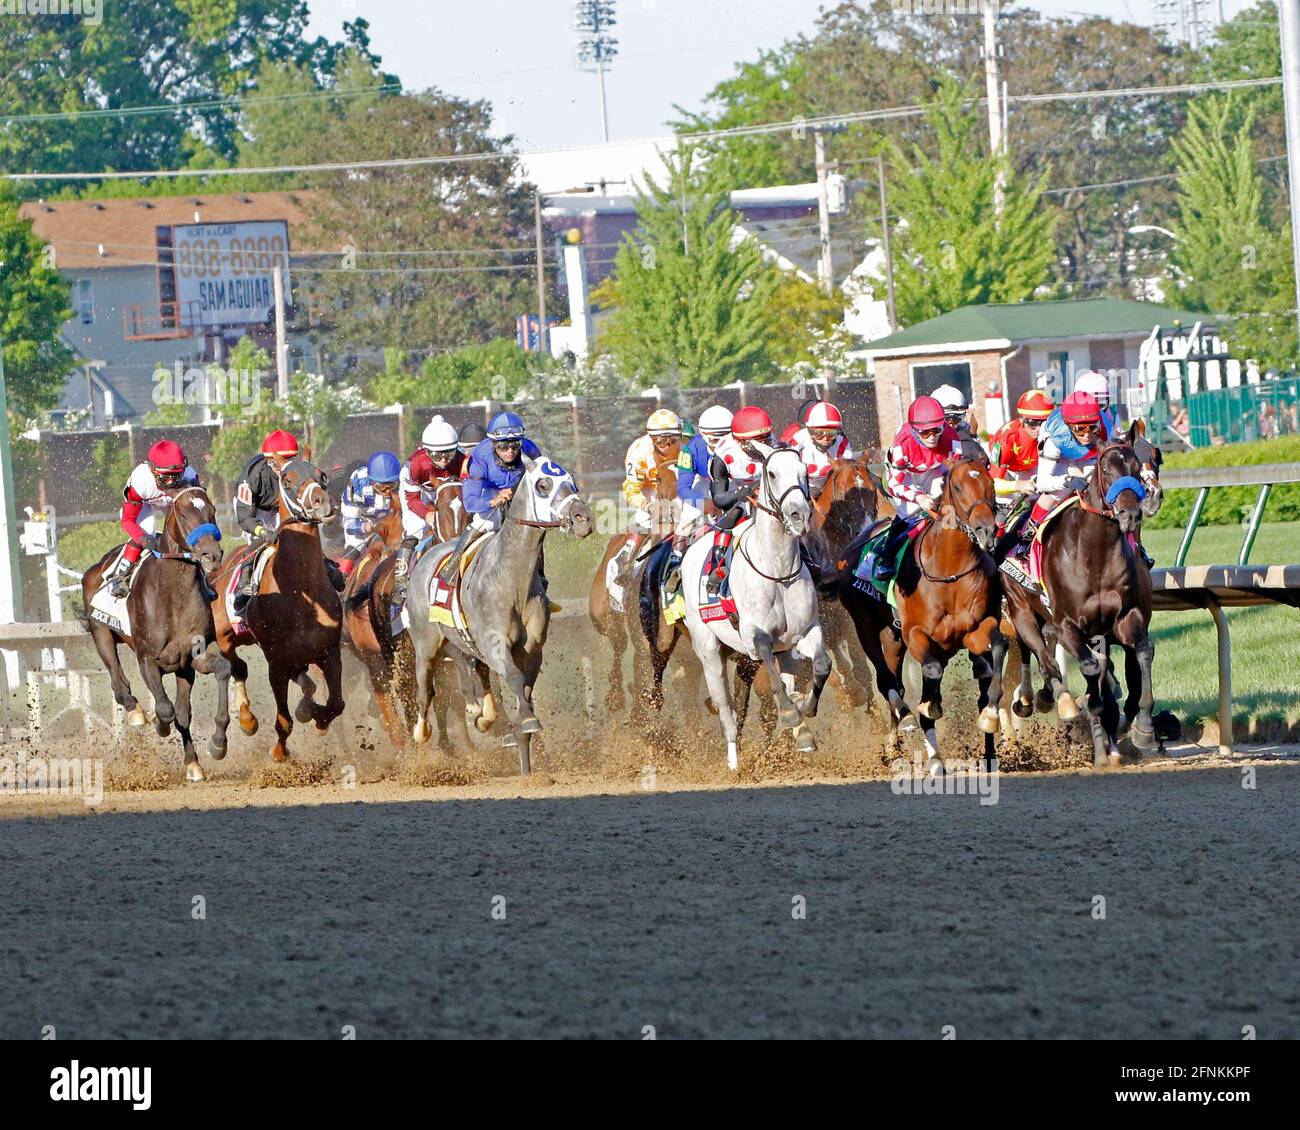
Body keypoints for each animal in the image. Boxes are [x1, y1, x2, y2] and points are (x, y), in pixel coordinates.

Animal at [82, 481, 230, 780]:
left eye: (212, 509)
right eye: (183, 514)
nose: (212, 555)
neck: (174, 594)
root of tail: (95, 568)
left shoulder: (192, 657)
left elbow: (218, 673)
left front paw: (217, 744)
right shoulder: (148, 660)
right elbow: (164, 708)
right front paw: (159, 725)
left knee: (181, 711)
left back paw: (193, 762)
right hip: (101, 632)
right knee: (118, 683)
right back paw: (136, 712)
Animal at [208, 455, 343, 764]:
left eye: (321, 474)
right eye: (288, 480)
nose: (321, 502)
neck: (302, 591)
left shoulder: (330, 653)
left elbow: (335, 704)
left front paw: (314, 715)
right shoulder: (276, 664)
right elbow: (284, 720)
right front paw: (279, 751)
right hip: (227, 636)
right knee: (237, 667)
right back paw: (243, 723)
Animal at [405, 455, 595, 769]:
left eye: (572, 481)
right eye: (543, 485)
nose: (584, 518)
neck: (511, 580)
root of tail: (426, 557)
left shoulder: (532, 649)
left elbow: (524, 690)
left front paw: (522, 739)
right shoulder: (496, 645)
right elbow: (515, 679)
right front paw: (526, 721)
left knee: (477, 674)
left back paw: (484, 715)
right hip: (426, 643)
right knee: (425, 690)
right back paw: (422, 731)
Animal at [681, 442, 832, 764]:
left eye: (804, 471)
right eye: (772, 473)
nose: (799, 515)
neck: (777, 571)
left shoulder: (806, 631)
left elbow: (822, 664)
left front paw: (806, 707)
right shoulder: (754, 636)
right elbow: (772, 677)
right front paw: (791, 712)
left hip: (778, 652)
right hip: (709, 652)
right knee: (727, 710)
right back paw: (734, 762)